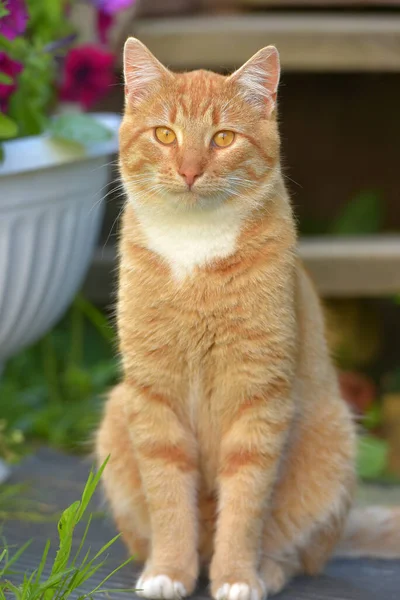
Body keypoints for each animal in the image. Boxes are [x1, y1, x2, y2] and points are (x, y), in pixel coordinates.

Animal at [96, 37, 400, 600]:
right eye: (165, 134)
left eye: (223, 138)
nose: (190, 170)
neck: (194, 248)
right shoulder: (153, 395)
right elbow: (168, 496)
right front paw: (170, 570)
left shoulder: (259, 397)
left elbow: (245, 504)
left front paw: (237, 576)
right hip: (115, 414)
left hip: (333, 440)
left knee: (299, 552)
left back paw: (268, 569)